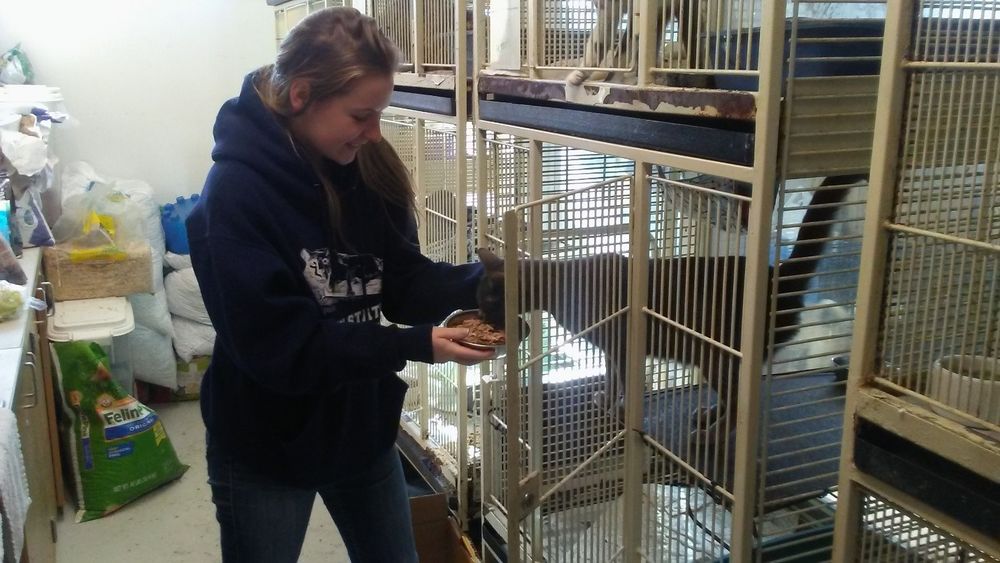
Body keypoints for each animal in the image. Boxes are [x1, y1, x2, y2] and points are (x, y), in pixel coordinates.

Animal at [474, 176, 860, 440]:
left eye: (489, 300)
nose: (484, 316)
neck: (560, 283)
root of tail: (778, 274)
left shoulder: (622, 344)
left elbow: (624, 381)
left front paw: (619, 411)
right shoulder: (612, 347)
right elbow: (612, 377)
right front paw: (607, 402)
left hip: (716, 354)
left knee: (741, 404)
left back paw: (712, 433)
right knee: (736, 398)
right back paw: (708, 416)